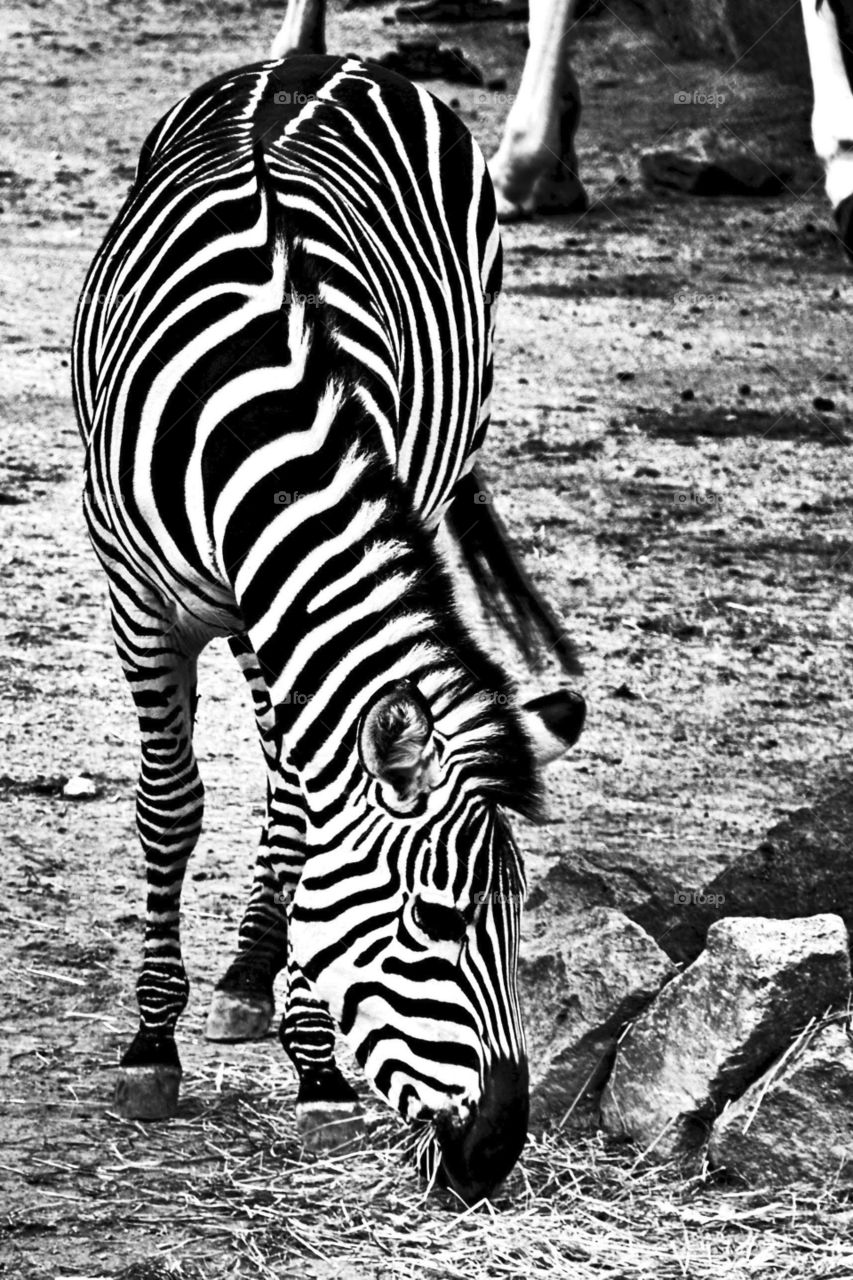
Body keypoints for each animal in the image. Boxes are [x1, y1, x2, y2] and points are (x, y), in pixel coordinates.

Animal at [72, 53, 585, 1201]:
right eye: (435, 921)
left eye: (521, 918)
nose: (495, 1154)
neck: (257, 422)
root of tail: (331, 59)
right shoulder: (140, 602)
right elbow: (169, 809)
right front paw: (149, 1045)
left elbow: (306, 821)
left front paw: (313, 1066)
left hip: (436, 457)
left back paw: (254, 972)